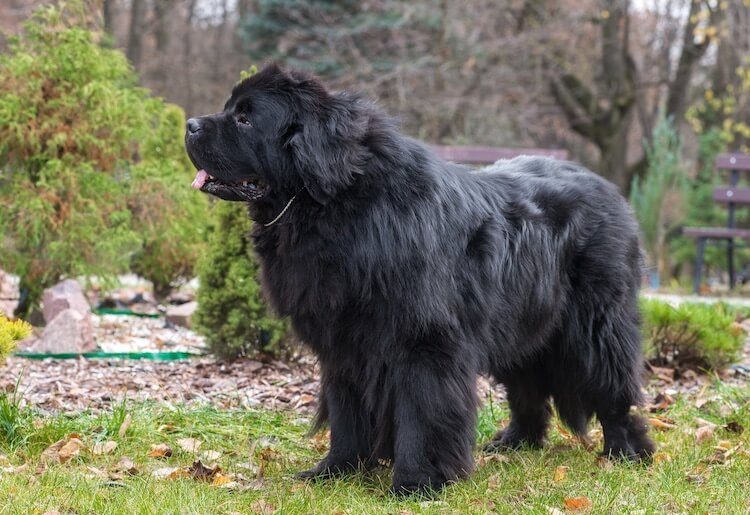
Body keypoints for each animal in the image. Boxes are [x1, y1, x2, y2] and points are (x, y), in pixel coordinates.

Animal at [185, 62, 656, 494]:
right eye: (230, 109)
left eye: (245, 118)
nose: (189, 124)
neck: (334, 204)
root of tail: (608, 188)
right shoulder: (342, 343)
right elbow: (346, 412)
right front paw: (334, 472)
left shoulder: (424, 341)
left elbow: (422, 412)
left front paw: (416, 483)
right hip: (519, 322)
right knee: (528, 390)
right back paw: (514, 443)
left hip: (594, 326)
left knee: (614, 389)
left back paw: (626, 453)